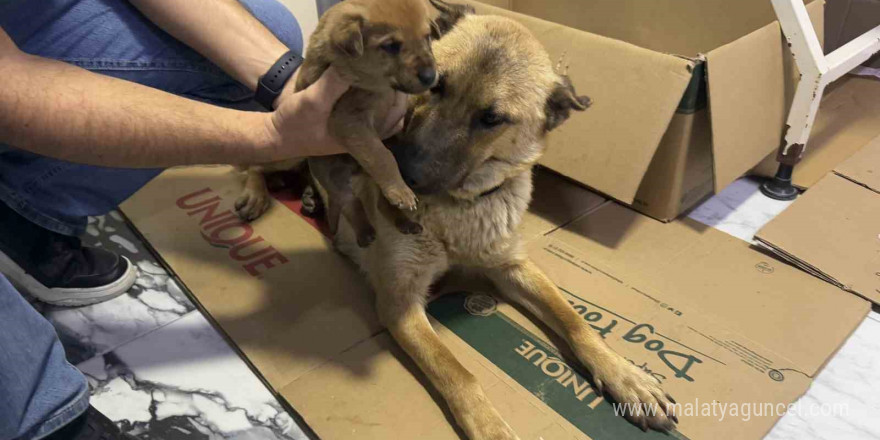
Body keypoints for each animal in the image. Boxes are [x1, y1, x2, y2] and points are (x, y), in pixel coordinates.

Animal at [235, 0, 440, 246]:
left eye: (427, 37)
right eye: (391, 46)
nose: (430, 76)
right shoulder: (348, 120)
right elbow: (382, 155)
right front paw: (400, 189)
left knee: (365, 201)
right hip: (291, 153)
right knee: (258, 167)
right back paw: (256, 196)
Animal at [312, 1, 676, 438]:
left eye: (491, 119)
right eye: (435, 86)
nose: (404, 173)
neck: (459, 211)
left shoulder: (511, 266)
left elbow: (573, 319)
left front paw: (625, 375)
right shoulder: (400, 302)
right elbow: (458, 372)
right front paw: (489, 426)